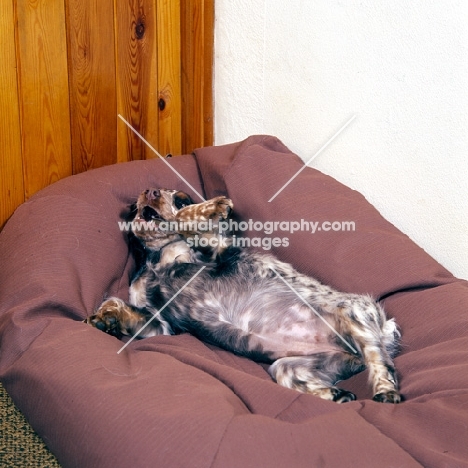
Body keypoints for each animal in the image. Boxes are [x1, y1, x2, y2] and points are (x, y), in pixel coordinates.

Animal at [86, 188, 400, 404]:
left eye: (181, 199)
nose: (149, 192)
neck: (158, 260)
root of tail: (385, 328)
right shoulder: (160, 324)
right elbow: (116, 302)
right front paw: (105, 318)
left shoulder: (216, 252)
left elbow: (186, 222)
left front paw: (213, 207)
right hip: (291, 365)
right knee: (294, 377)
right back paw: (335, 394)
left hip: (353, 314)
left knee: (382, 364)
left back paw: (385, 392)